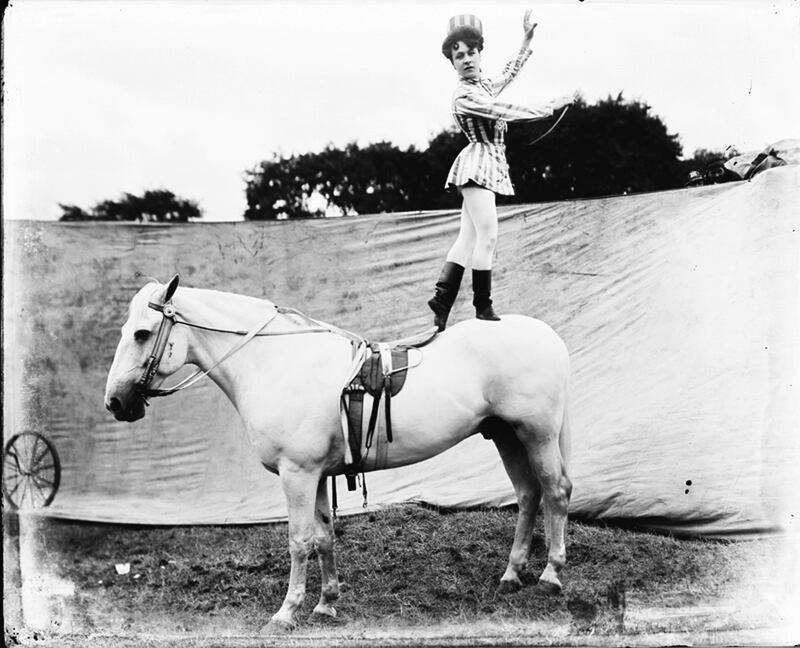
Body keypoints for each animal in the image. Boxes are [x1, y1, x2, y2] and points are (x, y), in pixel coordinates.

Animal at [104, 274, 568, 632]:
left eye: (142, 333)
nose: (115, 402)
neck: (276, 360)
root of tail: (550, 337)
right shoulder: (319, 475)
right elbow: (324, 537)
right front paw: (326, 603)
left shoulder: (297, 474)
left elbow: (299, 540)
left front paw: (286, 613)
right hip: (507, 436)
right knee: (528, 495)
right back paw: (511, 575)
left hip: (537, 435)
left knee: (556, 492)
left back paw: (550, 575)